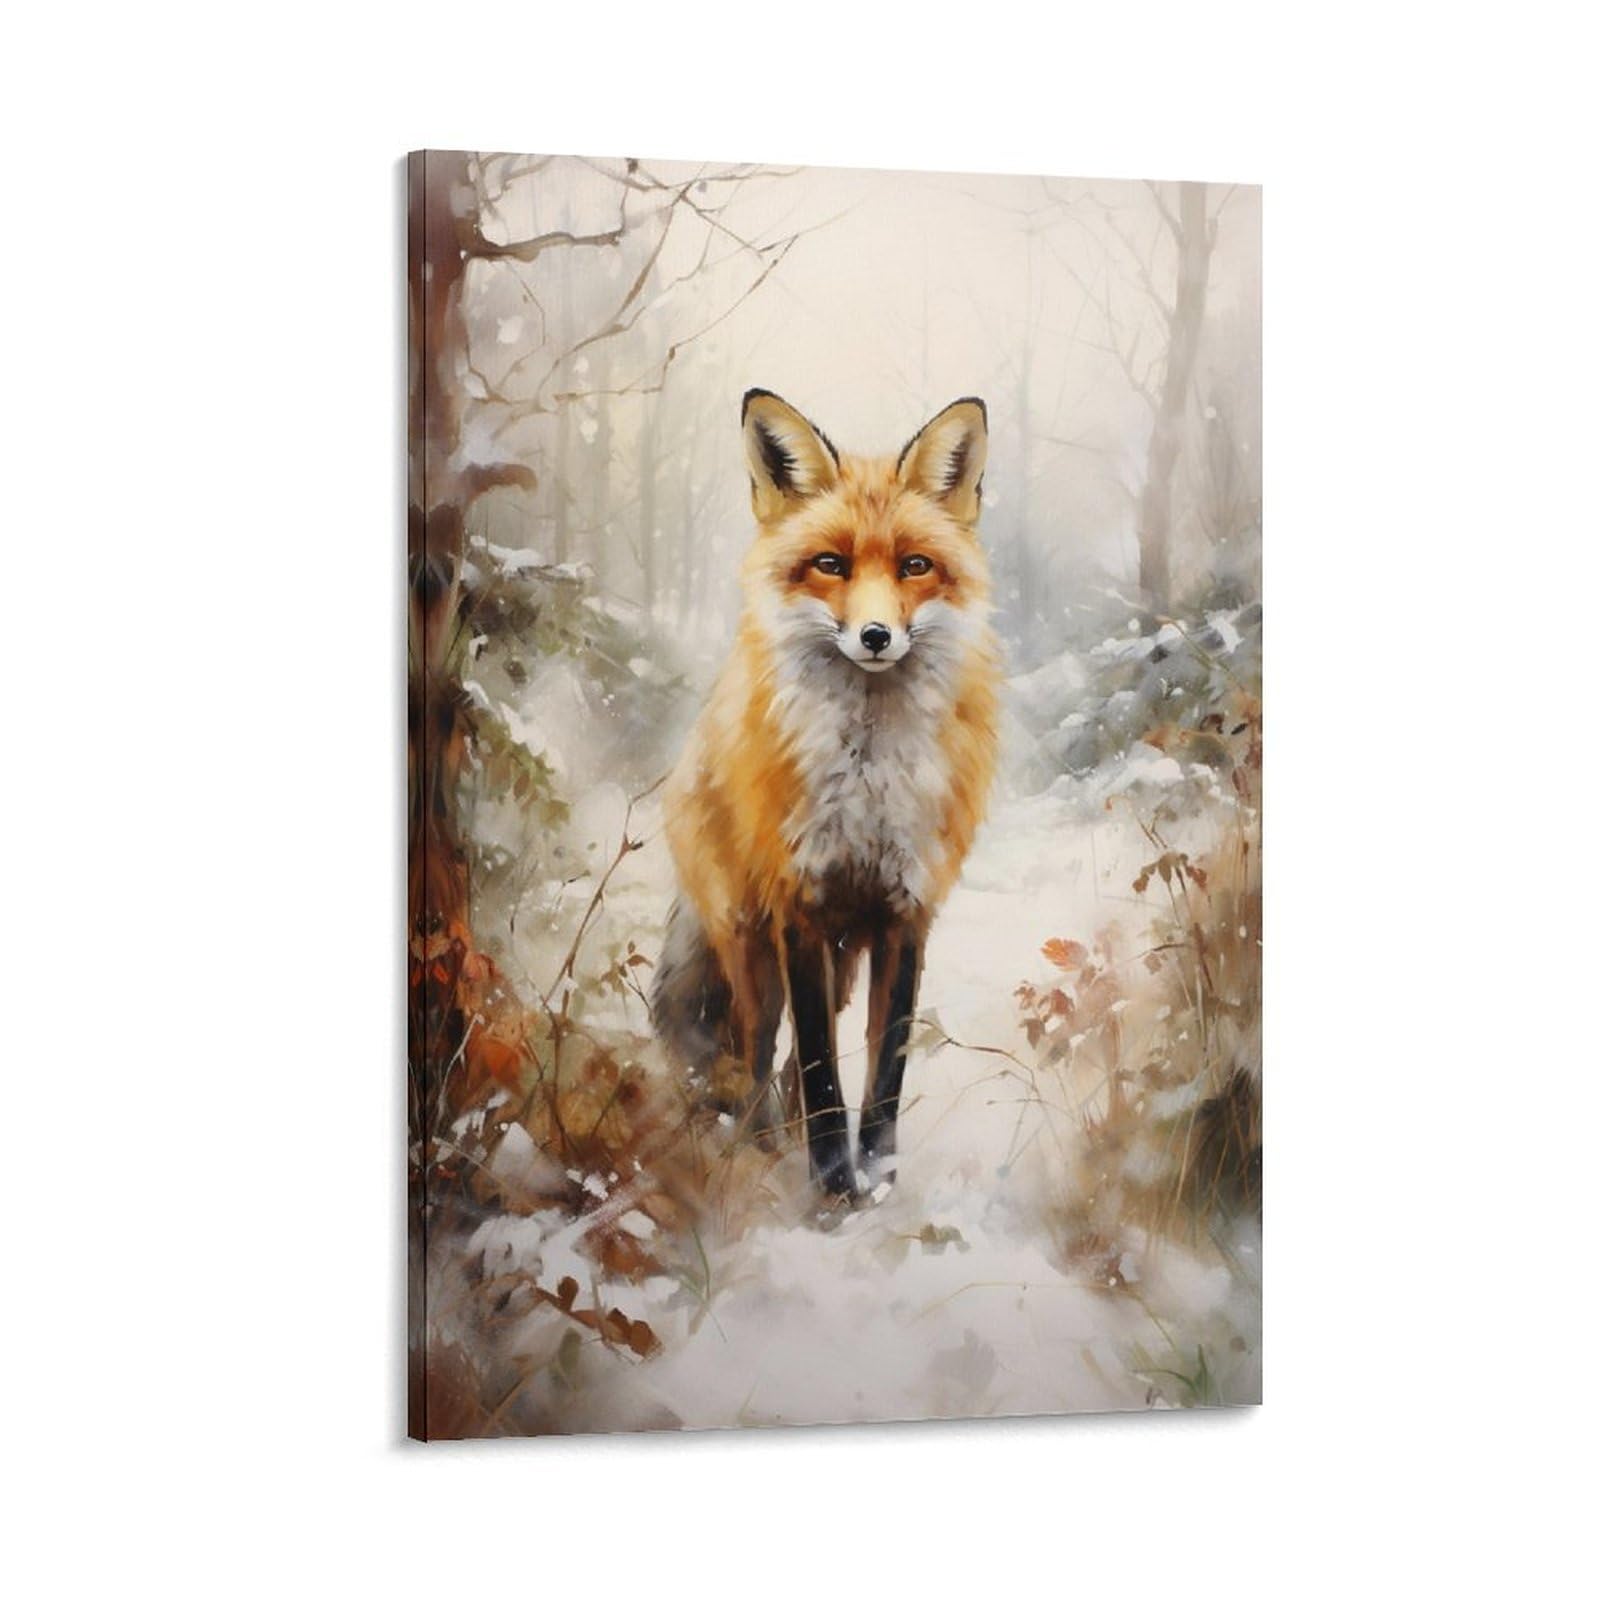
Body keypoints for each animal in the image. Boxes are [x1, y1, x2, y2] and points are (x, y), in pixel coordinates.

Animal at [650, 389, 1001, 1203]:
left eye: (914, 566)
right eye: (830, 566)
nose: (875, 636)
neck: (868, 780)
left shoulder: (906, 913)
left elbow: (884, 1066)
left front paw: (877, 1174)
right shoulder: (799, 909)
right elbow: (818, 1065)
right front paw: (833, 1182)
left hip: (841, 956)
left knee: (780, 1062)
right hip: (753, 945)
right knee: (754, 1049)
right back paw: (752, 1144)